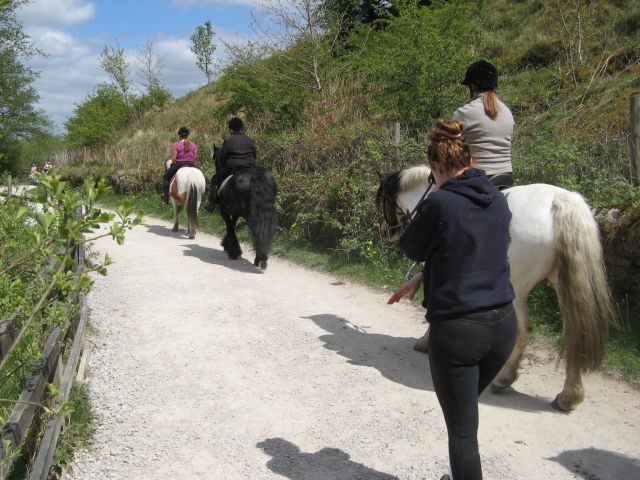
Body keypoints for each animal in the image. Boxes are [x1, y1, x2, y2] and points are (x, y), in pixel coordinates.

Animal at [378, 167, 616, 410]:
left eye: (384, 200)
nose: (386, 232)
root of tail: (561, 199)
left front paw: (426, 342)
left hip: (518, 286)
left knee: (525, 329)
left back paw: (504, 378)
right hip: (562, 283)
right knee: (573, 334)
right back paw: (568, 396)